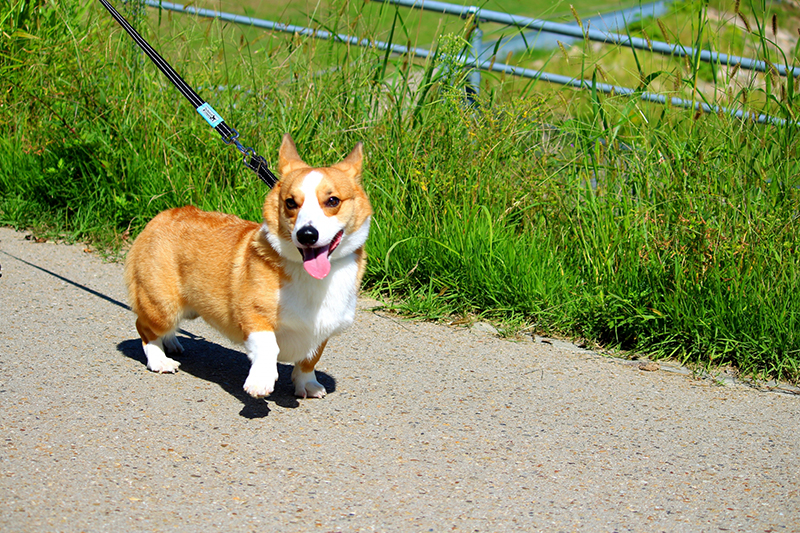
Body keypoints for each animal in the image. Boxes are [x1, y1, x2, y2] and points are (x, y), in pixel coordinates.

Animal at [123, 135, 374, 396]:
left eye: (332, 201)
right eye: (290, 203)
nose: (306, 235)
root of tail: (158, 217)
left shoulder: (323, 329)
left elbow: (309, 359)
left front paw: (307, 384)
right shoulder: (255, 316)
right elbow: (268, 347)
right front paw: (260, 380)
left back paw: (171, 341)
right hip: (162, 305)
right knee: (144, 327)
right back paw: (159, 359)